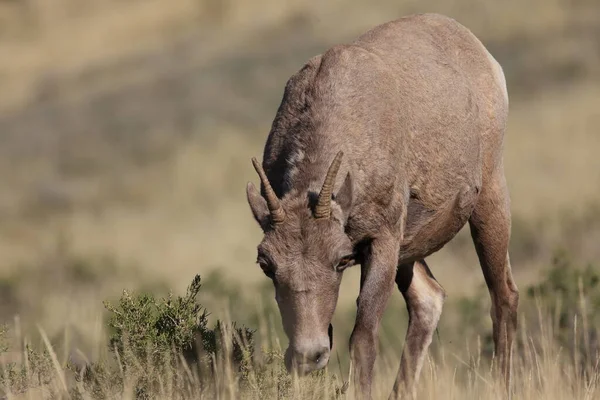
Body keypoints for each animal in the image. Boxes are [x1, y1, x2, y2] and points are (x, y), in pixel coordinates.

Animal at [246, 11, 516, 396]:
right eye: (266, 265)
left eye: (341, 260)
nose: (307, 356)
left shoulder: (382, 242)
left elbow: (363, 339)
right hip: (411, 251)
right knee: (429, 299)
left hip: (489, 201)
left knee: (503, 297)